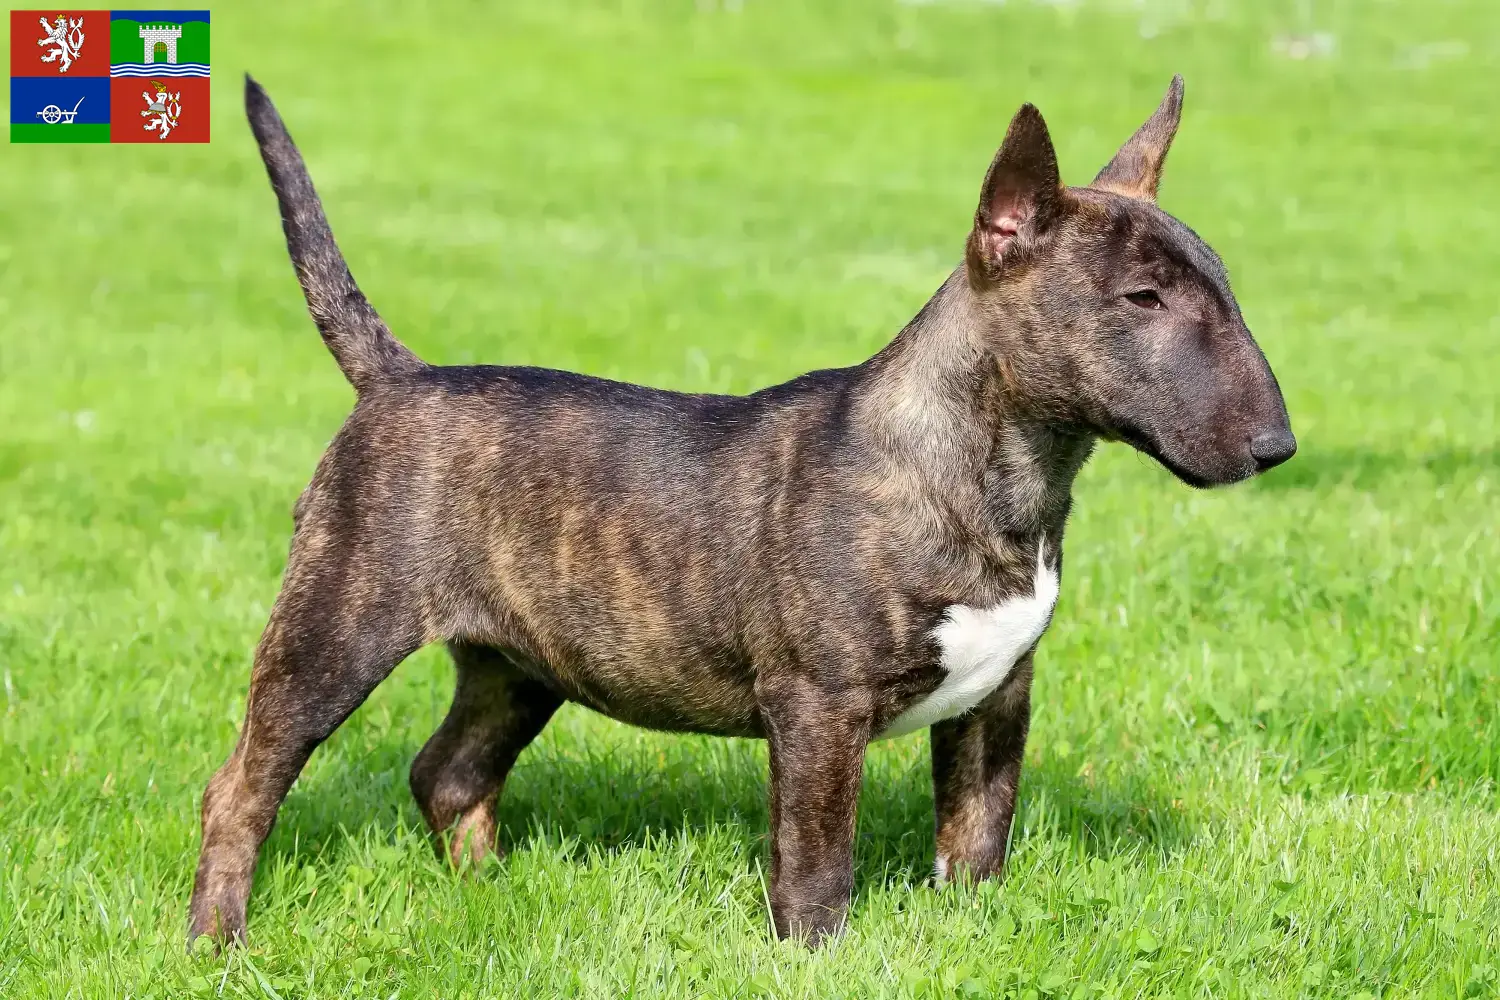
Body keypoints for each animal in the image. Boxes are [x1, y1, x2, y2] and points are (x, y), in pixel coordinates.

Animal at [188, 74, 1294, 948]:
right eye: (1143, 298)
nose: (1276, 446)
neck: (989, 470)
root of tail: (398, 379)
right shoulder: (818, 709)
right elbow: (817, 865)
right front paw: (815, 958)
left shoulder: (997, 700)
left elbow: (976, 840)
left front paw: (973, 936)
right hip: (336, 626)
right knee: (241, 785)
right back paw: (218, 941)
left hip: (520, 662)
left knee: (448, 772)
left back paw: (491, 896)